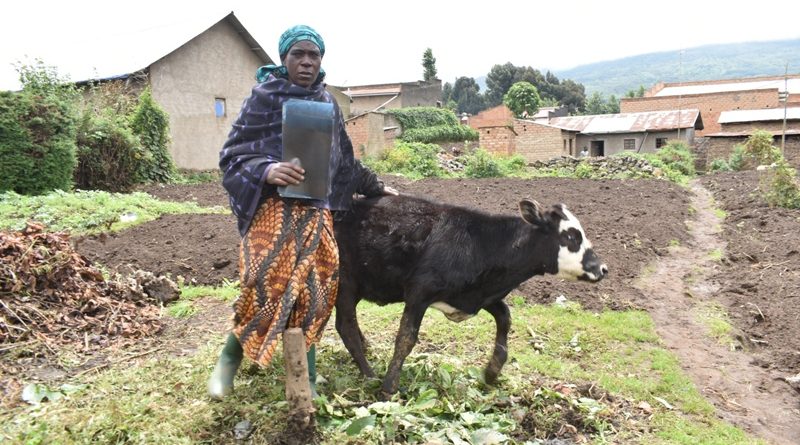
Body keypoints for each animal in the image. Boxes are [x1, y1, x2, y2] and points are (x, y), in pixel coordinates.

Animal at [332, 194, 608, 396]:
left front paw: (492, 371)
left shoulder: (476, 295)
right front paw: (389, 386)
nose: (602, 268)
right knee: (346, 327)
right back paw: (369, 374)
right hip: (345, 284)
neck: (480, 243)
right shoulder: (419, 293)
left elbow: (505, 317)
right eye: (571, 236)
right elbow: (405, 339)